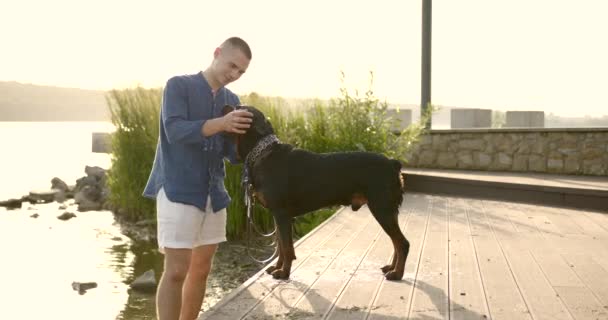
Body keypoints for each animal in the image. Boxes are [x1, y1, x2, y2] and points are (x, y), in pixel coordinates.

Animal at [223, 105, 408, 280]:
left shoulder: (282, 214)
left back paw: (396, 274)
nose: (225, 106)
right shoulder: (278, 216)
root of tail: (393, 164)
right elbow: (281, 246)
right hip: (390, 211)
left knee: (402, 243)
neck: (261, 153)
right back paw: (391, 268)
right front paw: (278, 267)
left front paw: (284, 272)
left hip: (382, 208)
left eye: (239, 108)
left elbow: (287, 248)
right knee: (396, 243)